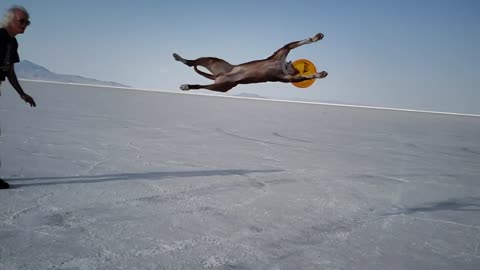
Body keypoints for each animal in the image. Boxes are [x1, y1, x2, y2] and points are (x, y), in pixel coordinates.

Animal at [172, 32, 326, 92]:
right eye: (296, 67)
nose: (296, 70)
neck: (282, 65)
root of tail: (218, 75)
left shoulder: (286, 78)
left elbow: (302, 77)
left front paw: (320, 74)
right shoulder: (282, 51)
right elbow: (299, 43)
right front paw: (316, 37)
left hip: (222, 85)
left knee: (200, 84)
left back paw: (186, 85)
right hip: (215, 62)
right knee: (192, 63)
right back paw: (179, 58)